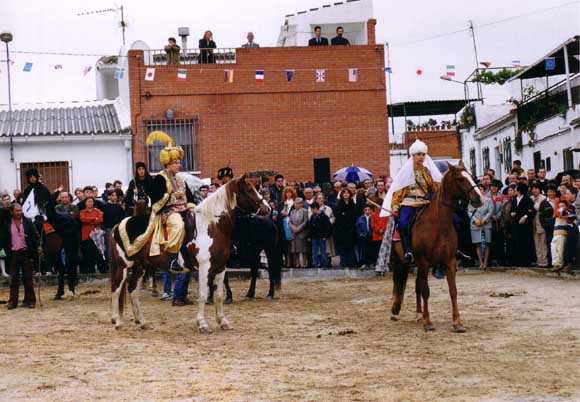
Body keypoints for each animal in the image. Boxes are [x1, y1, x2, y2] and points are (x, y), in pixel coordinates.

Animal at [390, 161, 484, 332]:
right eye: (460, 179)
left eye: (471, 176)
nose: (479, 199)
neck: (438, 223)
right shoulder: (424, 262)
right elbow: (426, 291)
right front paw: (428, 322)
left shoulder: (449, 262)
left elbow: (453, 291)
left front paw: (457, 322)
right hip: (400, 261)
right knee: (399, 283)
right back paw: (396, 310)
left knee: (417, 285)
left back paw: (419, 314)